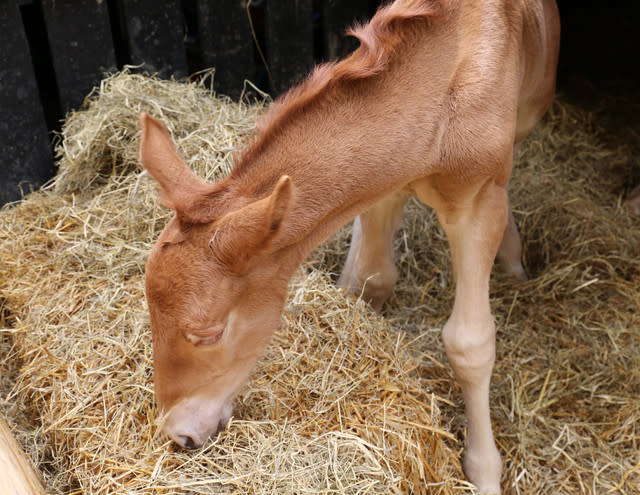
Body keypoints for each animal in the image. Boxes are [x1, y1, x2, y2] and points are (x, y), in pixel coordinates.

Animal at [141, 0, 560, 492]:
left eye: (209, 334)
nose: (179, 432)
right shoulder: (383, 181)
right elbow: (372, 280)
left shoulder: (476, 201)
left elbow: (469, 343)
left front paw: (485, 473)